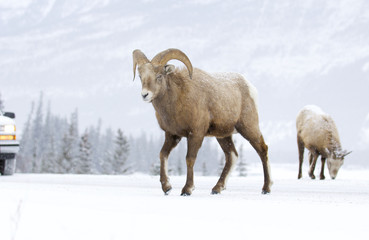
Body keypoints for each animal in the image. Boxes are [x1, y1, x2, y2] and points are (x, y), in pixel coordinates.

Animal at [132, 48, 270, 195]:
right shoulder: (172, 135)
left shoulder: (196, 134)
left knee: (262, 150)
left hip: (249, 128)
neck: (177, 100)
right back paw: (216, 189)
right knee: (232, 156)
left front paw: (187, 189)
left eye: (159, 76)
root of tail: (250, 87)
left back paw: (266, 188)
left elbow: (189, 159)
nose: (145, 95)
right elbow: (163, 154)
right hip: (223, 136)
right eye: (140, 76)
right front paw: (166, 187)